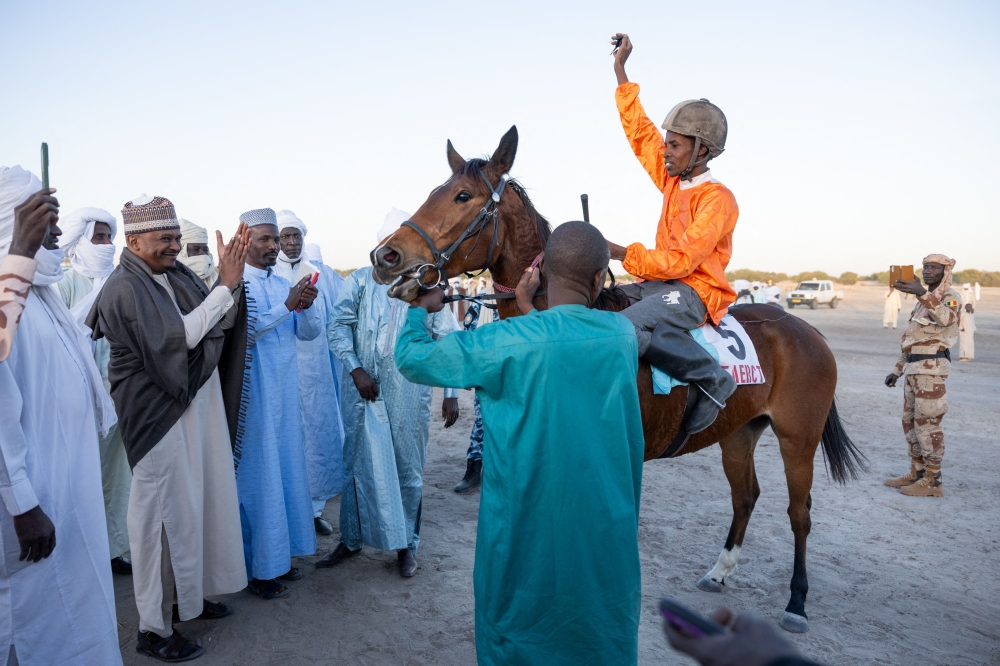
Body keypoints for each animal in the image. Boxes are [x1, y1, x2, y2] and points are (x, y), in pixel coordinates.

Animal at [372, 126, 864, 632]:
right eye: (435, 191)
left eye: (462, 196)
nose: (385, 255)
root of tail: (805, 329)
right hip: (739, 431)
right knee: (746, 495)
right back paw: (719, 571)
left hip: (798, 437)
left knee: (799, 513)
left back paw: (796, 602)